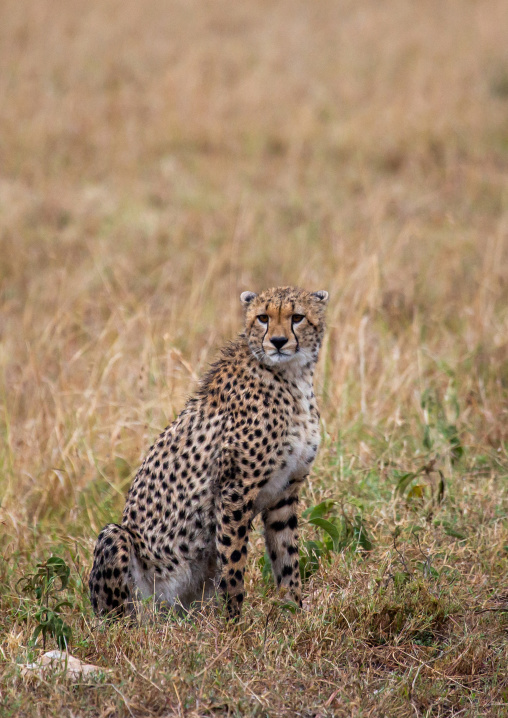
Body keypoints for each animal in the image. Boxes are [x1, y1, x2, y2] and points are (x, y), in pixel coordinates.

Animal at [89, 285, 329, 620]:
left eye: (297, 318)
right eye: (263, 318)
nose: (279, 341)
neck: (292, 376)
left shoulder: (284, 492)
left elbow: (286, 557)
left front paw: (292, 611)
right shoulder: (234, 489)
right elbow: (234, 562)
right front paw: (233, 622)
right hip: (117, 539)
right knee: (118, 616)